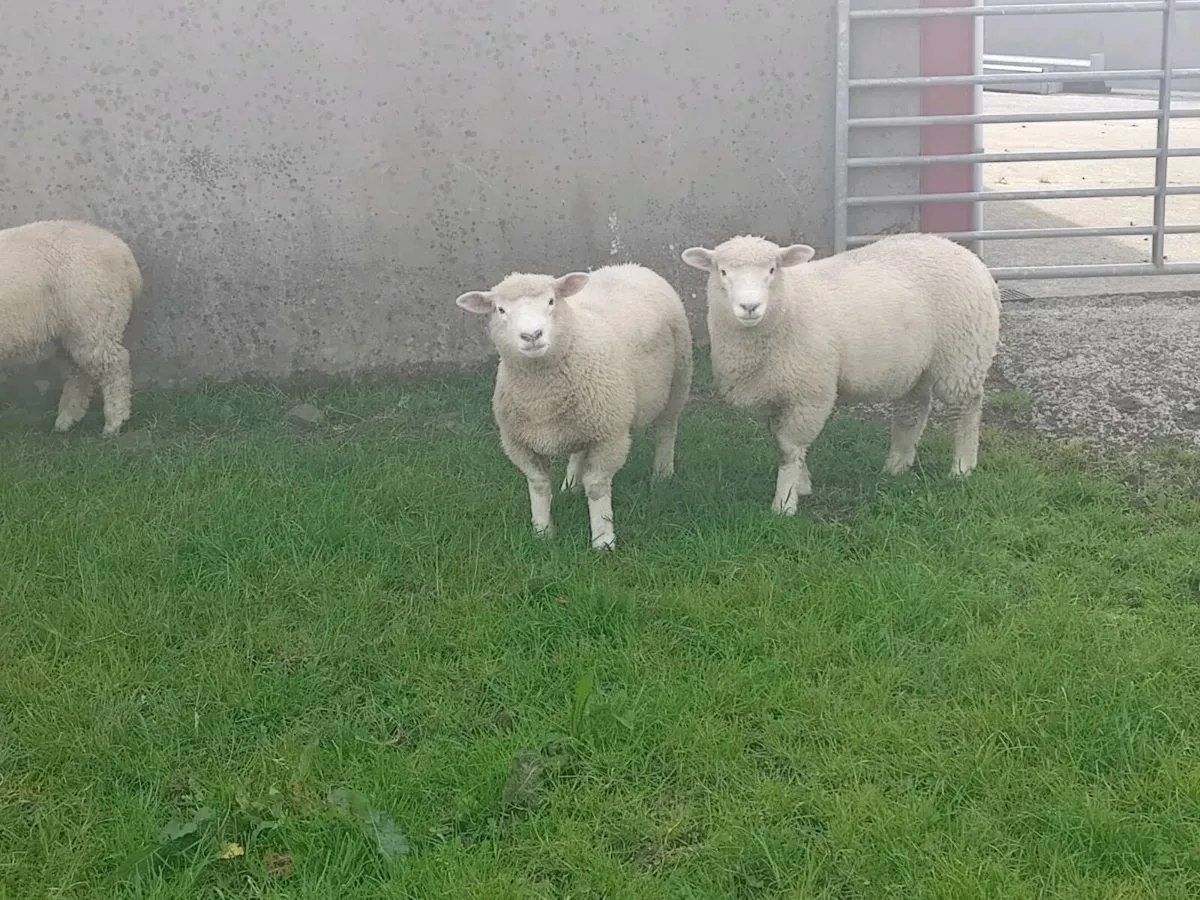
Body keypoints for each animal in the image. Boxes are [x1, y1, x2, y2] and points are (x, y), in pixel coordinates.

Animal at [0, 219, 143, 436]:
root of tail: (123, 254)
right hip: (69, 330)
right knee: (78, 373)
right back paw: (67, 419)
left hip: (93, 318)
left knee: (115, 367)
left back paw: (114, 423)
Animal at [455, 262, 693, 549]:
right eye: (500, 310)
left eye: (551, 301)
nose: (532, 335)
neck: (540, 396)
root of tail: (628, 266)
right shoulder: (517, 443)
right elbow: (538, 485)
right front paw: (542, 533)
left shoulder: (610, 436)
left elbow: (597, 486)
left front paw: (603, 540)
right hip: (584, 421)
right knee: (579, 450)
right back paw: (570, 485)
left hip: (678, 379)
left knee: (667, 428)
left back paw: (662, 474)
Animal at [681, 232, 1001, 516]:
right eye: (722, 271)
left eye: (772, 269)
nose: (750, 306)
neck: (788, 307)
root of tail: (967, 255)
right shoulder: (776, 395)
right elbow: (783, 443)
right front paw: (802, 484)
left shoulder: (809, 394)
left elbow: (789, 449)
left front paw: (785, 503)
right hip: (916, 365)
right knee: (914, 408)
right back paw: (897, 465)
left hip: (962, 355)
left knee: (968, 406)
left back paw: (962, 466)